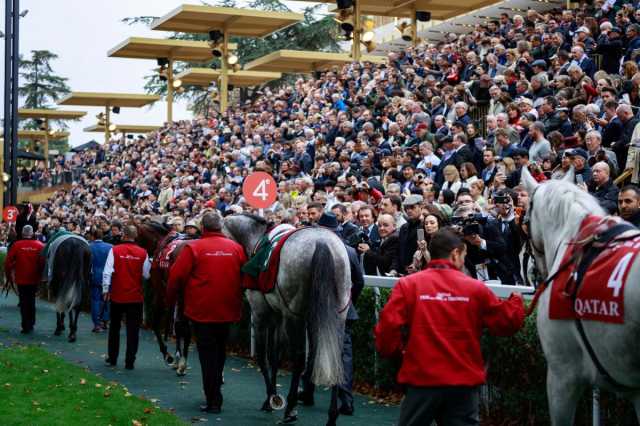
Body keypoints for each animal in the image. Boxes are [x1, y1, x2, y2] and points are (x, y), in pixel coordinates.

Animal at [136, 221, 191, 374]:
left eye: (136, 238)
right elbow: (176, 323)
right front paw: (178, 357)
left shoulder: (161, 291)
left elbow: (156, 322)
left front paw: (170, 356)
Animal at [221, 215, 350, 424]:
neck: (257, 239)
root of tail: (322, 243)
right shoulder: (278, 315)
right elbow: (276, 355)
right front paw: (272, 396)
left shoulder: (261, 313)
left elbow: (263, 356)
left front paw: (271, 400)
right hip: (336, 315)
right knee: (334, 356)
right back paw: (331, 415)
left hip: (294, 316)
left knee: (299, 357)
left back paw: (290, 408)